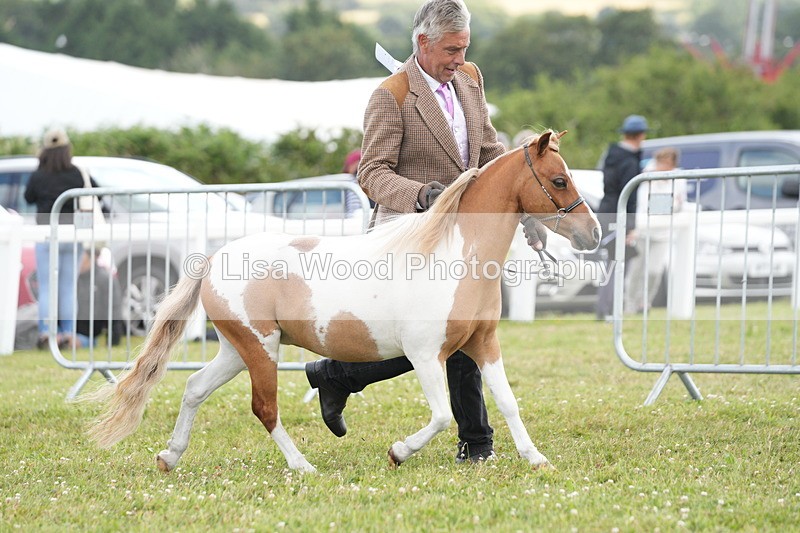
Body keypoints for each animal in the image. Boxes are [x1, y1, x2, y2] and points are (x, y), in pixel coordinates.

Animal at [89, 130, 601, 472]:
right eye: (559, 180)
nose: (592, 234)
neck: (454, 255)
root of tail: (215, 259)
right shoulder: (424, 355)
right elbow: (440, 415)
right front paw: (398, 452)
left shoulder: (481, 344)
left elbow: (508, 402)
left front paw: (536, 458)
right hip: (260, 349)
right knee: (264, 409)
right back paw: (303, 466)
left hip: (238, 349)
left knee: (195, 388)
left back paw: (169, 457)